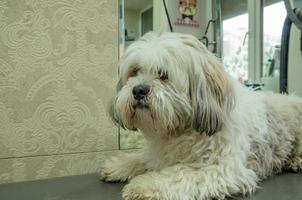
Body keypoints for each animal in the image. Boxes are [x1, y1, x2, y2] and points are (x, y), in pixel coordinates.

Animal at [101, 32, 302, 200]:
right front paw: (119, 165)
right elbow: (142, 157)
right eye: (135, 71)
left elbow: (180, 173)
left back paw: (295, 161)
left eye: (164, 75)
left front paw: (145, 185)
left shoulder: (223, 168)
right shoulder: (158, 154)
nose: (138, 90)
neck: (181, 130)